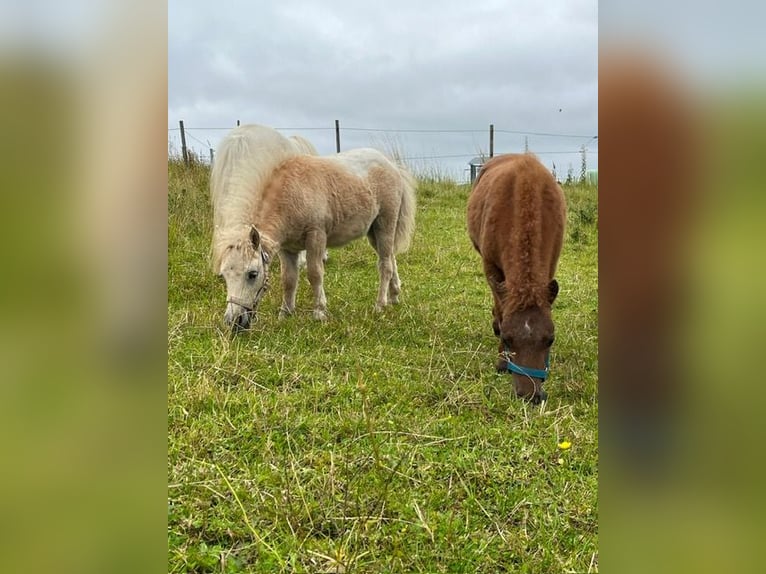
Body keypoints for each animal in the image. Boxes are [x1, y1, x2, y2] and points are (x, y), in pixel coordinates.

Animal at [226, 148, 416, 328]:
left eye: (252, 274)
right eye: (224, 275)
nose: (234, 321)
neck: (292, 193)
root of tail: (391, 165)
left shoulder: (316, 237)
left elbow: (315, 274)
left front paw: (319, 312)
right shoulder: (287, 249)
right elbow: (288, 279)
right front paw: (285, 314)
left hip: (385, 224)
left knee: (385, 265)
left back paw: (380, 305)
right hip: (373, 232)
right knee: (390, 258)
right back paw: (394, 296)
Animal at [464, 154, 568, 404]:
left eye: (550, 339)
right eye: (509, 339)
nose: (530, 395)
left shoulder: (550, 266)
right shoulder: (491, 267)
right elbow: (502, 309)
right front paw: (502, 361)